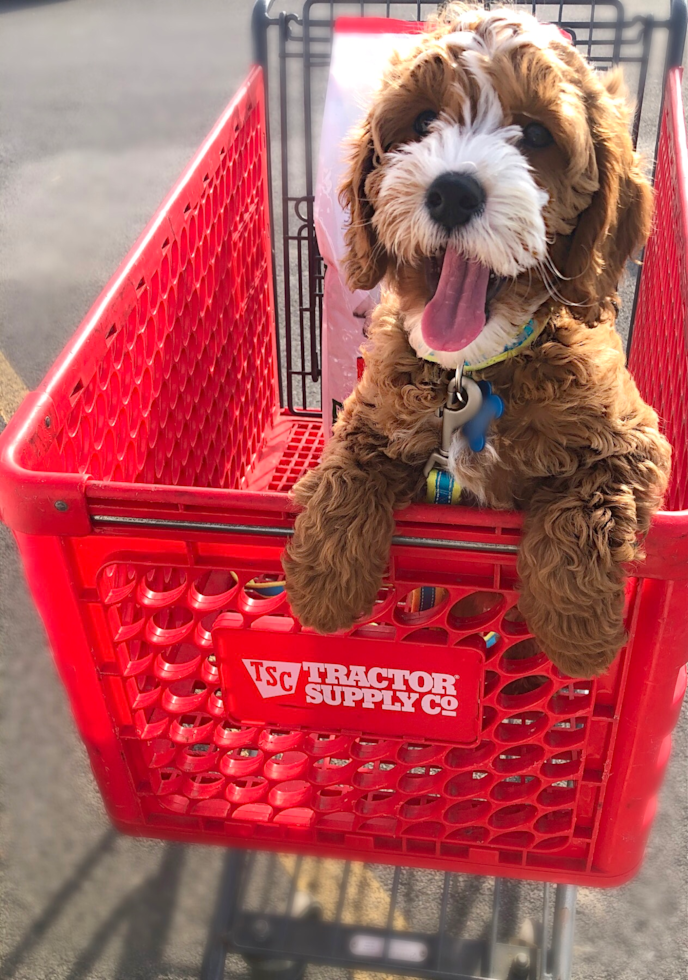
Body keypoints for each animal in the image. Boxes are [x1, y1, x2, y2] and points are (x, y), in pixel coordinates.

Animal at [280, 3, 672, 676]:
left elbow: (586, 507)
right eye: (421, 121)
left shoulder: (633, 439)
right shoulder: (372, 412)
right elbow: (345, 469)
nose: (453, 192)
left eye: (537, 135)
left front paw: (577, 633)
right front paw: (325, 586)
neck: (475, 368)